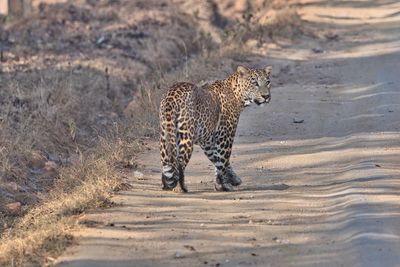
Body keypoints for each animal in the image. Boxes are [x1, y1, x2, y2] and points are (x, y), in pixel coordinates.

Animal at [159, 65, 272, 193]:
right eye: (254, 83)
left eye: (268, 82)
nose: (266, 96)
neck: (238, 95)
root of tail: (172, 94)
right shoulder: (225, 135)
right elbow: (223, 160)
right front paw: (224, 185)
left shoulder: (207, 141)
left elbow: (218, 160)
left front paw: (232, 180)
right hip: (186, 136)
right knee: (179, 162)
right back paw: (180, 187)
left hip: (165, 134)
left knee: (166, 161)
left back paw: (166, 185)